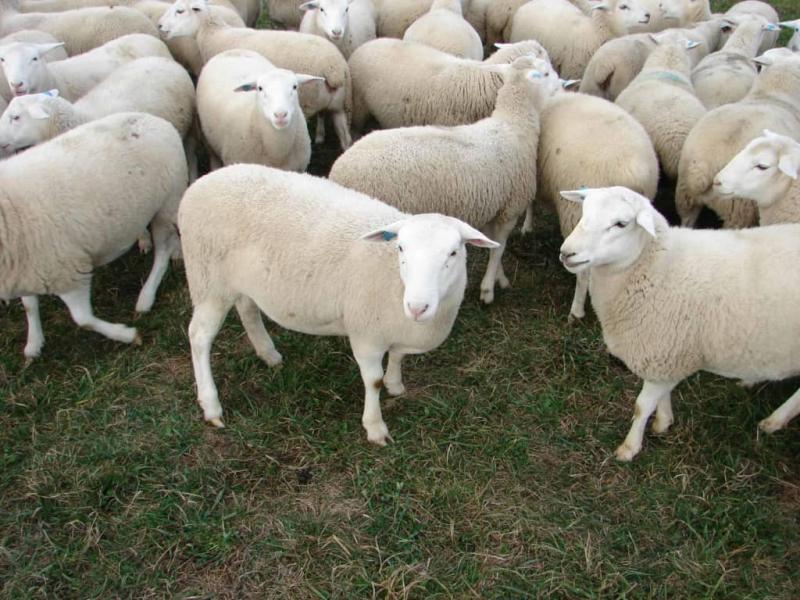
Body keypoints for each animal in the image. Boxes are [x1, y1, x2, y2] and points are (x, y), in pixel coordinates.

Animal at [0, 112, 186, 359]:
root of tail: (153, 119)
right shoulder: (27, 267)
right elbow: (30, 306)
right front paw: (34, 343)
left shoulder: (68, 271)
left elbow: (84, 320)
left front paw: (127, 335)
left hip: (166, 203)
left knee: (163, 252)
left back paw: (147, 295)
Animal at [158, 0, 353, 150]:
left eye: (180, 11)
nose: (159, 26)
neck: (213, 34)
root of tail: (334, 68)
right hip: (339, 106)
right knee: (346, 140)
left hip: (306, 103)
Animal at [179, 163, 498, 444]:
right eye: (400, 248)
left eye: (453, 253)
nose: (417, 307)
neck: (395, 280)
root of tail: (198, 185)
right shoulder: (366, 334)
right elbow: (373, 381)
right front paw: (375, 428)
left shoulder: (395, 327)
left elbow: (397, 357)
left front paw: (396, 385)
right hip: (208, 280)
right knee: (199, 337)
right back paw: (211, 406)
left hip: (241, 279)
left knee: (247, 308)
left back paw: (268, 354)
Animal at [330, 56, 556, 304]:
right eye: (546, 73)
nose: (562, 86)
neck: (513, 123)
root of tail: (338, 170)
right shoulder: (510, 208)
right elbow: (499, 250)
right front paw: (488, 290)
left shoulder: (492, 206)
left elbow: (491, 244)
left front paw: (500, 278)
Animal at [558, 185, 800, 461]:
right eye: (584, 211)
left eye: (620, 224)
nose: (566, 252)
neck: (659, 267)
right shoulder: (668, 358)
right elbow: (662, 396)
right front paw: (663, 422)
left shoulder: (664, 351)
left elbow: (642, 407)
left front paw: (629, 448)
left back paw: (774, 420)